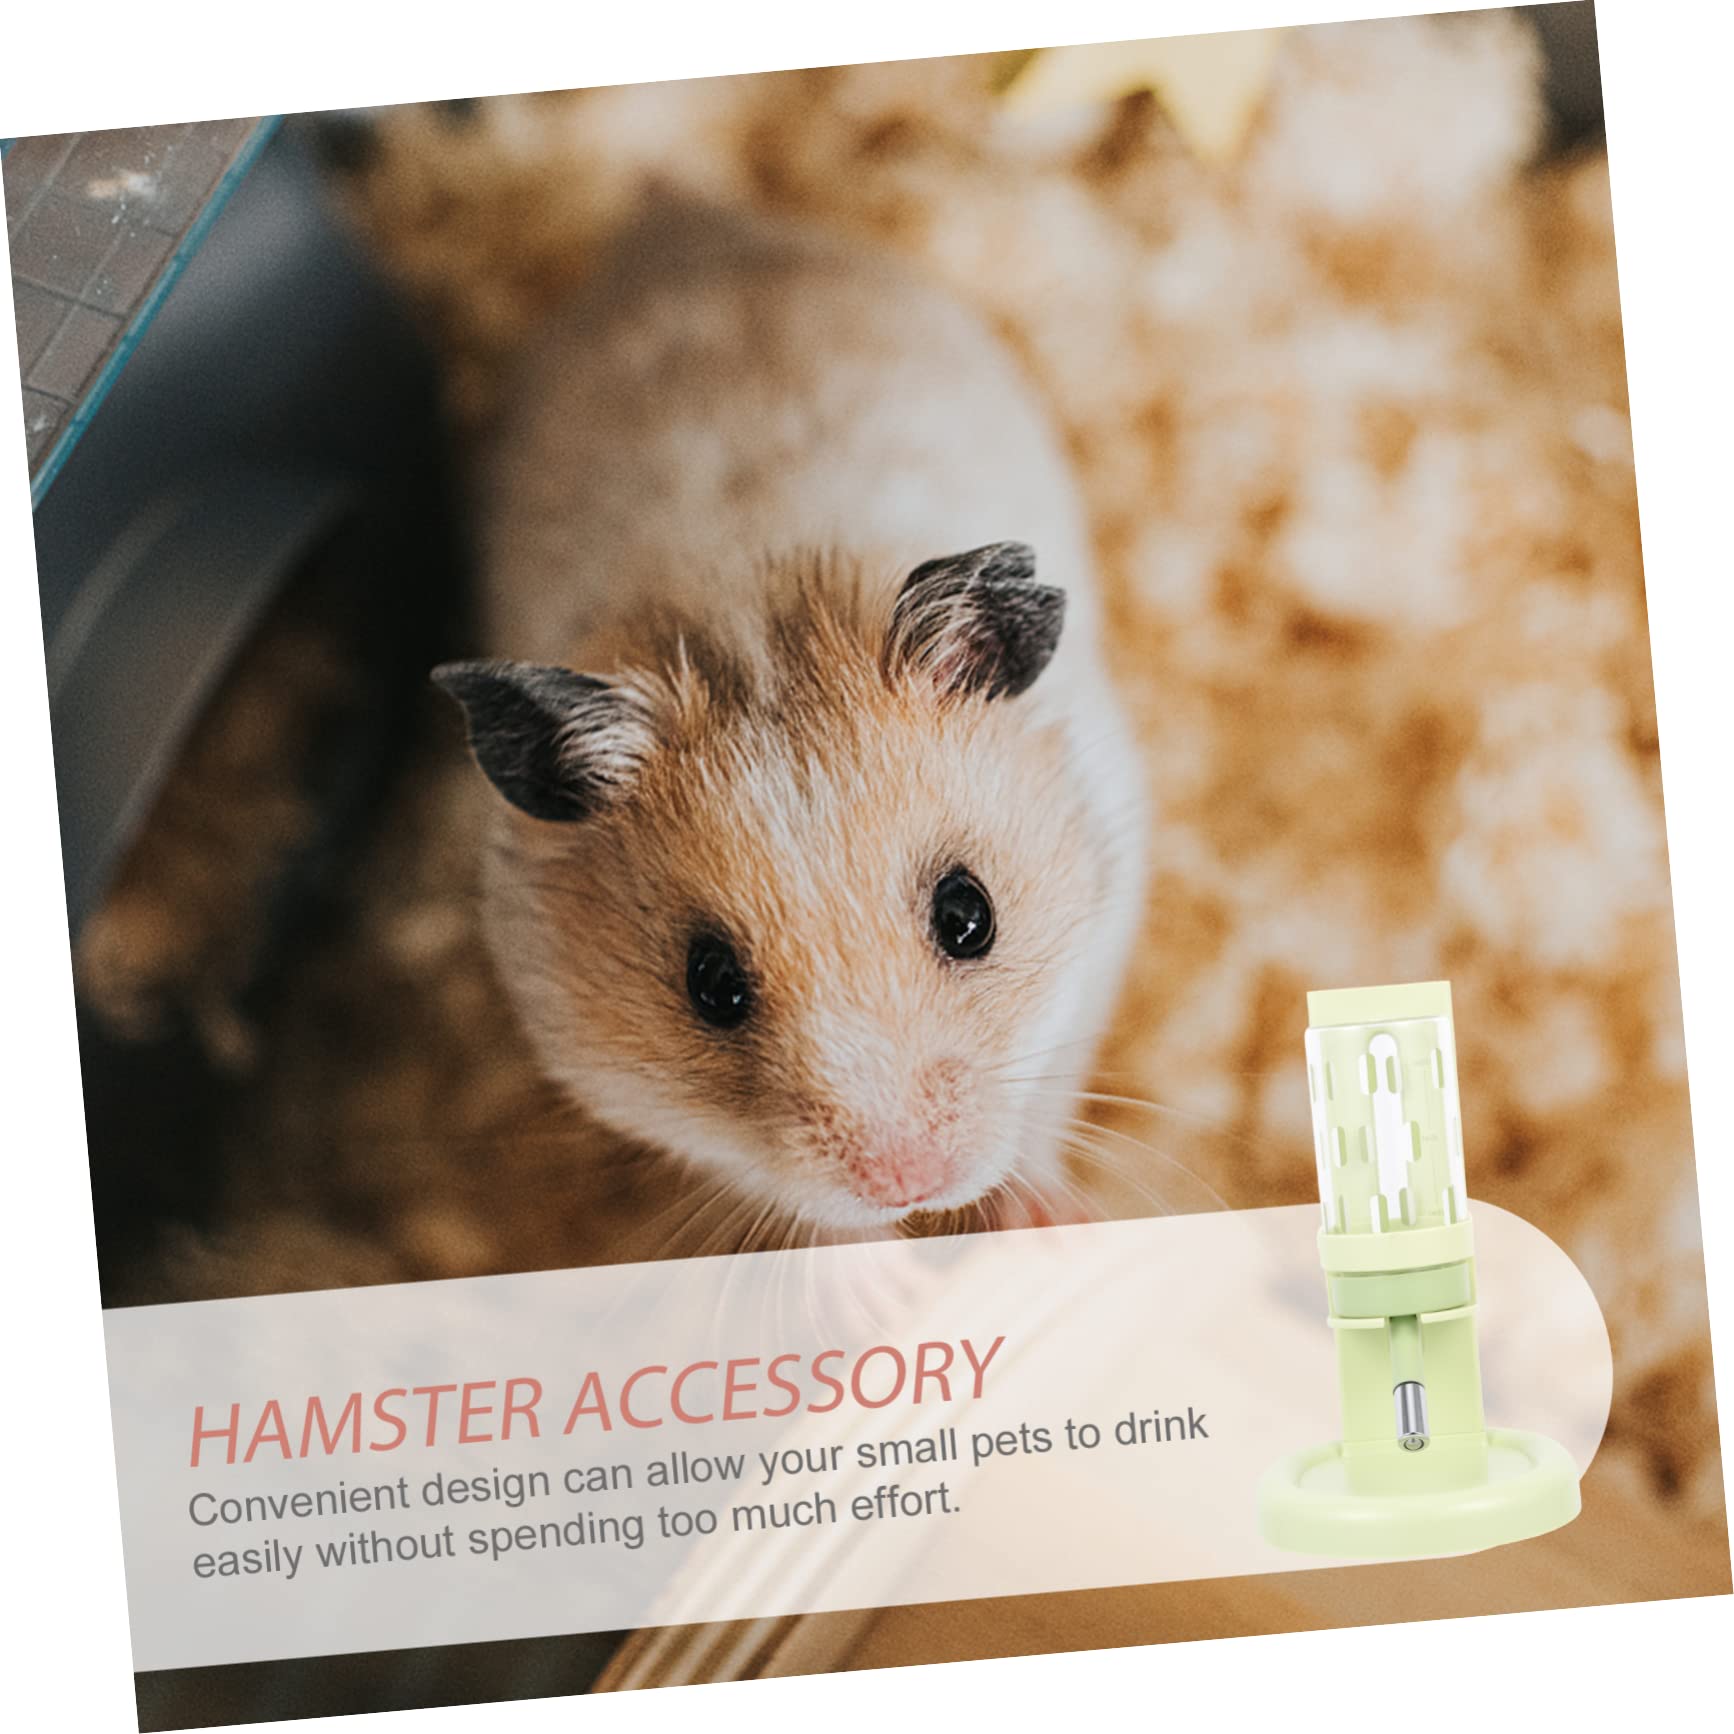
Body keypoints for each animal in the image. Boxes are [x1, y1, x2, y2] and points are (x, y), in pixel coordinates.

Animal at [435, 199, 1147, 1234]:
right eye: (712, 986)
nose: (906, 1184)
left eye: (970, 915)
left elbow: (1045, 1100)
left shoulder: (1102, 931)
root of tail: (673, 215)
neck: (752, 630)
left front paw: (1052, 1226)